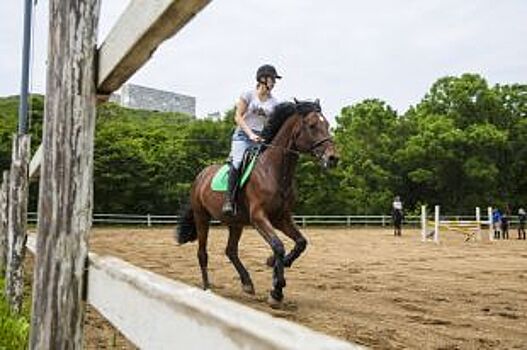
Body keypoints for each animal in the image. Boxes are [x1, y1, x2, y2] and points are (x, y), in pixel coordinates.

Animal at [177, 99, 340, 306]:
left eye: (327, 124)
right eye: (312, 126)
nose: (333, 158)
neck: (274, 171)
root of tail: (200, 176)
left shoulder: (281, 217)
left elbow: (301, 242)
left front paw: (277, 266)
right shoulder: (259, 217)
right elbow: (278, 246)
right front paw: (276, 289)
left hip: (235, 223)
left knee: (231, 251)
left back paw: (247, 283)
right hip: (202, 217)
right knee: (202, 253)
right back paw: (207, 289)